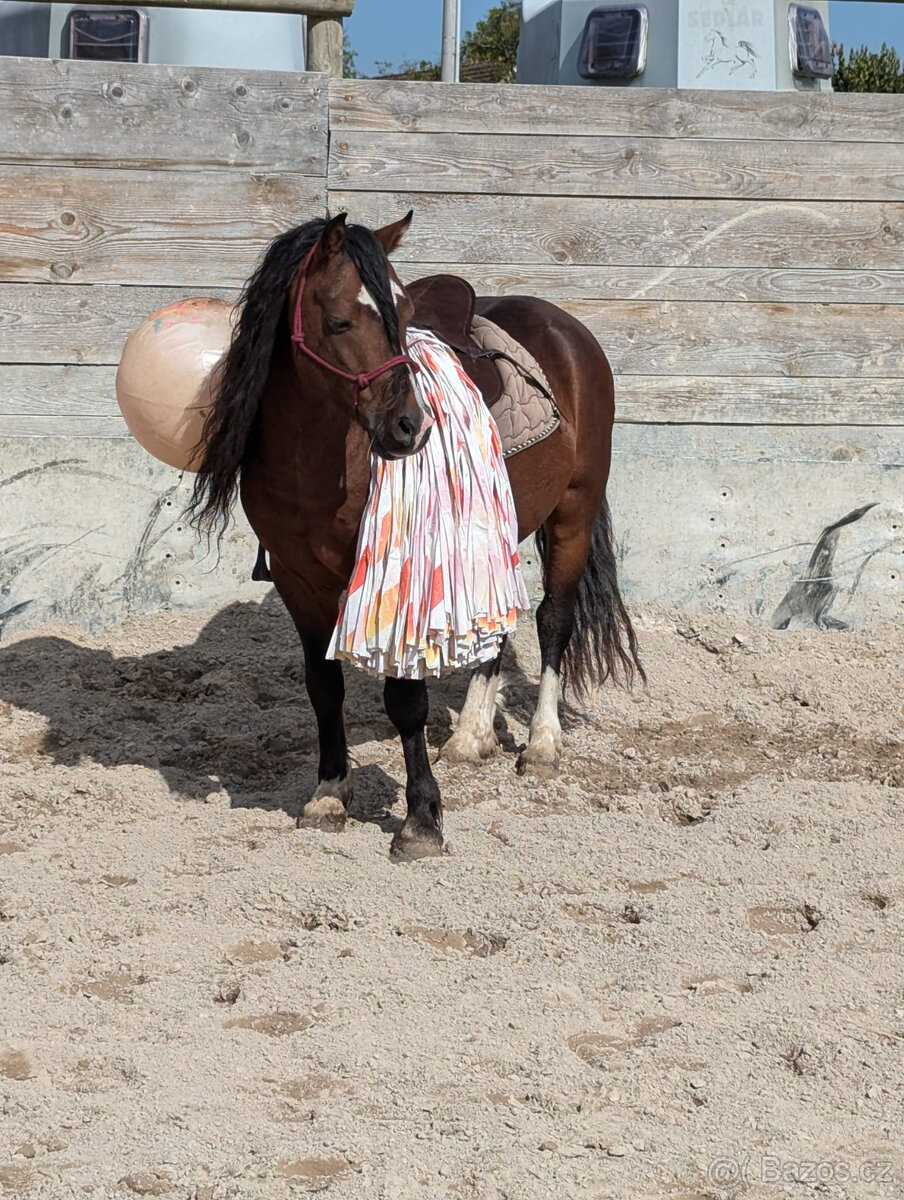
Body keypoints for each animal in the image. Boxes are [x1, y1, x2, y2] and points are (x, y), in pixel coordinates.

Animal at [189, 211, 642, 860]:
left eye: (404, 316)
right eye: (339, 320)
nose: (410, 427)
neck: (318, 461)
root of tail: (568, 329)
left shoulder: (399, 575)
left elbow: (406, 703)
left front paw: (422, 818)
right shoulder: (299, 579)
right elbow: (323, 686)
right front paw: (329, 794)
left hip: (572, 515)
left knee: (554, 619)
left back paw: (543, 743)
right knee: (496, 626)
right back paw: (472, 737)